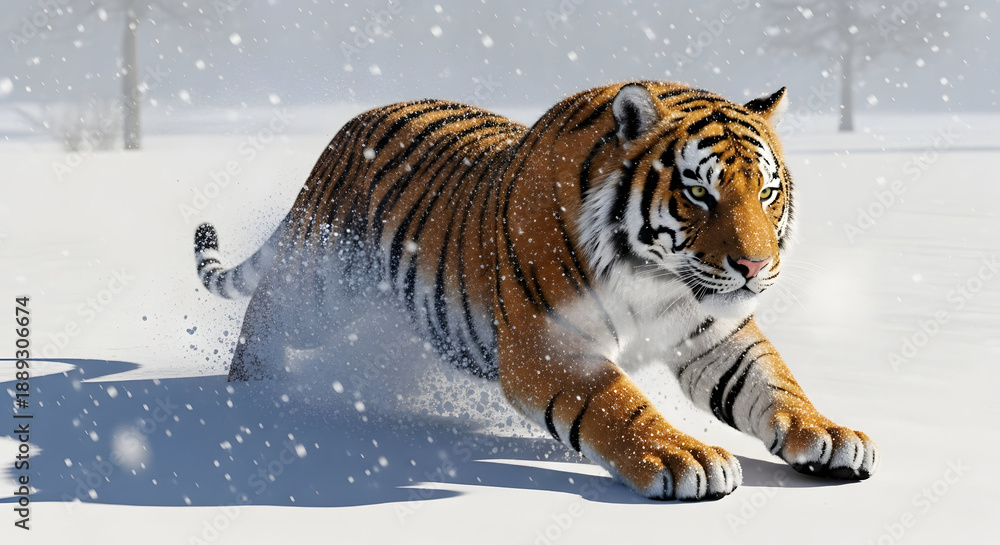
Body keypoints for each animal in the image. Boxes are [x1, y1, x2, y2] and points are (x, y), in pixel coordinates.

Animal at [193, 81, 878, 500]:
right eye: (698, 192)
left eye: (767, 192)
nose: (755, 266)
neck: (655, 278)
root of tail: (350, 125)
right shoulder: (547, 344)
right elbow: (617, 403)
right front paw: (686, 459)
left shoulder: (715, 333)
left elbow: (773, 383)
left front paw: (831, 436)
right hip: (321, 283)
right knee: (266, 310)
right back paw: (251, 392)